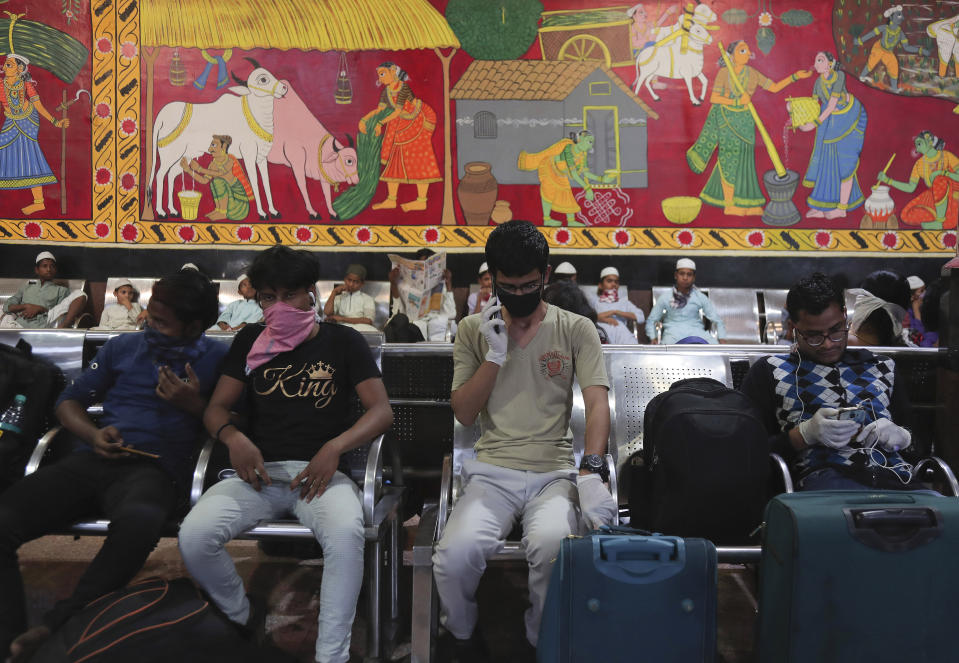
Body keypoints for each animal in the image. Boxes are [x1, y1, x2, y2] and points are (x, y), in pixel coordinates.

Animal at [146, 59, 288, 220]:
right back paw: (161, 212)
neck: (255, 112)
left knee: (170, 174)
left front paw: (274, 211)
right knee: (160, 175)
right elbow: (255, 181)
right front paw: (262, 213)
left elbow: (266, 182)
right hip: (170, 154)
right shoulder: (249, 154)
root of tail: (161, 115)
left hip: (185, 156)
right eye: (263, 79)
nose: (284, 87)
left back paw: (173, 210)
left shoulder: (261, 157)